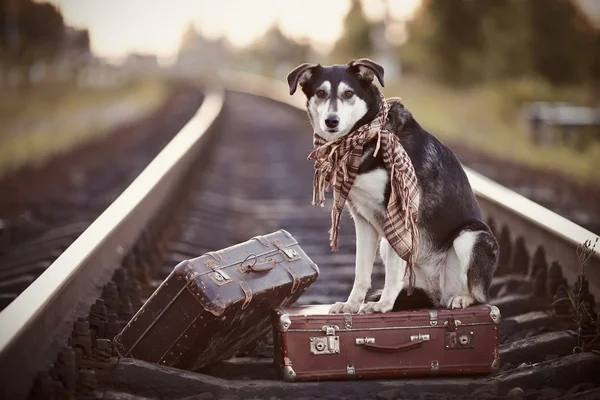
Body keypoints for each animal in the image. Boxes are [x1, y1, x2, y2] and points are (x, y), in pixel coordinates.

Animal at [286, 58, 496, 316]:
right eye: (320, 93)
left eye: (348, 93)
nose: (331, 121)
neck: (364, 136)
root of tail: (438, 293)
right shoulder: (362, 219)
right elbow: (361, 271)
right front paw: (352, 304)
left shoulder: (398, 211)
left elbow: (394, 271)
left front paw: (383, 305)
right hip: (387, 245)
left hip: (472, 236)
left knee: (480, 295)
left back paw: (461, 299)